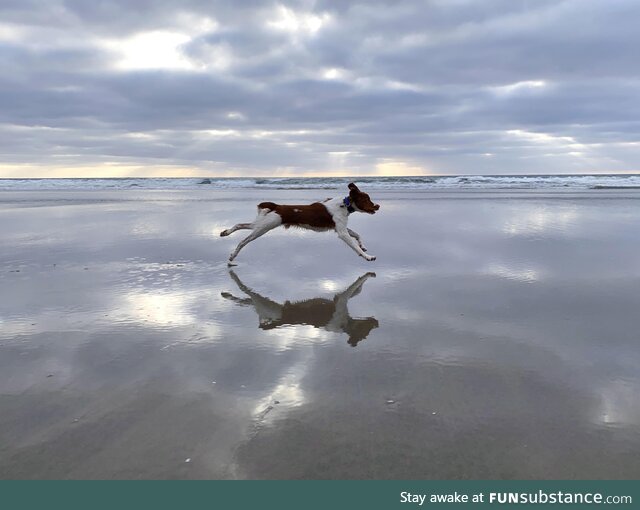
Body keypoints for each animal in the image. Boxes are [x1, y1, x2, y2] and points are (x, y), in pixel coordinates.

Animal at [220, 182, 380, 262]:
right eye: (367, 199)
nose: (378, 206)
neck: (344, 204)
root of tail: (277, 206)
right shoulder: (341, 232)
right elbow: (355, 246)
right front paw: (367, 256)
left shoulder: (339, 228)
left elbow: (357, 235)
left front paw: (363, 246)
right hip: (264, 228)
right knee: (243, 241)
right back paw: (233, 254)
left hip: (262, 224)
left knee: (240, 225)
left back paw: (225, 233)